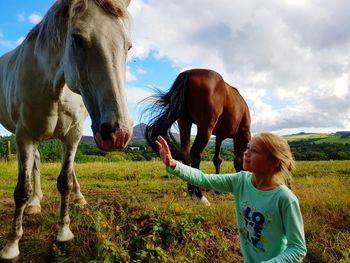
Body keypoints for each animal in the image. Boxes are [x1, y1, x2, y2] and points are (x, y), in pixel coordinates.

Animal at [0, 0, 133, 260]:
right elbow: (21, 190)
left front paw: (63, 232)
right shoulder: (24, 136)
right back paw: (35, 202)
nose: (118, 132)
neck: (54, 85)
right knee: (34, 164)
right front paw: (11, 245)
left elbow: (65, 182)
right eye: (77, 39)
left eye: (128, 46)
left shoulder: (73, 135)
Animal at [145, 68, 252, 206]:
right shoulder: (242, 135)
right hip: (205, 127)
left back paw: (191, 191)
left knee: (186, 154)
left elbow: (217, 159)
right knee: (195, 155)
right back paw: (200, 196)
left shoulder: (219, 136)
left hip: (184, 122)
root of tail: (188, 73)